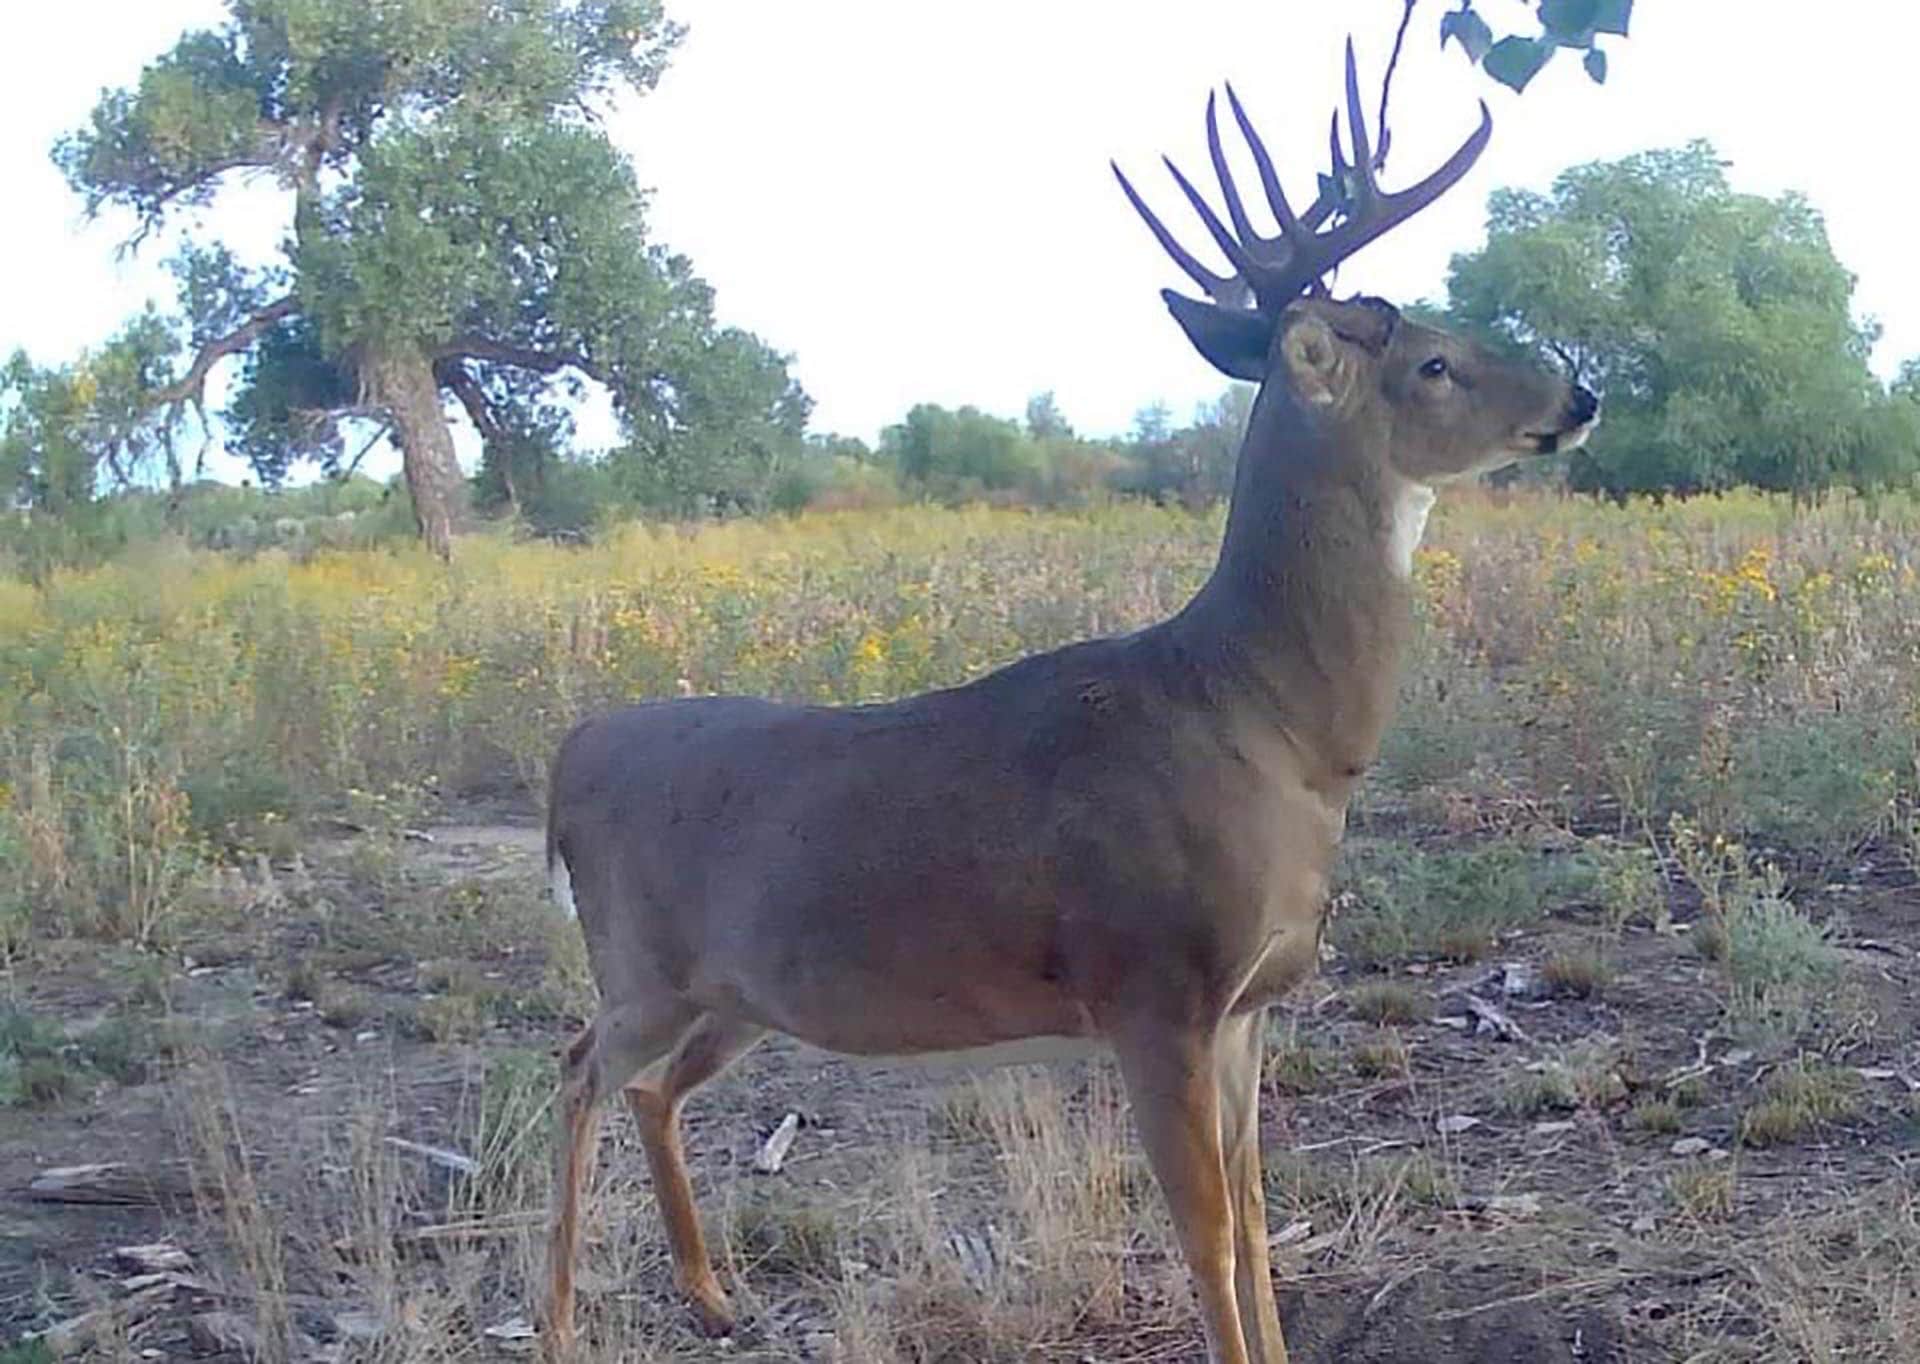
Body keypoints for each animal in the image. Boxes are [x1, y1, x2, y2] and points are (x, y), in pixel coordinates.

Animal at [541, 39, 1596, 1364]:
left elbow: (1259, 1219)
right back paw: (558, 1321)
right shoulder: (1156, 986)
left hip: (739, 989)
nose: (1581, 392)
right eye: (1435, 360)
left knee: (644, 1082)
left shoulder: (1250, 1004)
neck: (1273, 722)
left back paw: (711, 1291)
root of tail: (570, 754)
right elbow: (1207, 1237)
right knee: (577, 1066)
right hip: (642, 960)